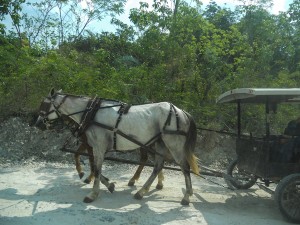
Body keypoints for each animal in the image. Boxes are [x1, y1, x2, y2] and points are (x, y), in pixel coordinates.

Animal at [35, 89, 199, 205]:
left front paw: (93, 194)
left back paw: (186, 196)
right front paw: (109, 185)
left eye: (44, 103)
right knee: (158, 166)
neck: (91, 113)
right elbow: (95, 167)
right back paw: (142, 191)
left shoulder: (98, 146)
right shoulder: (94, 147)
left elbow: (96, 168)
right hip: (159, 144)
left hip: (173, 144)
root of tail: (181, 111)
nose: (37, 123)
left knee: (185, 167)